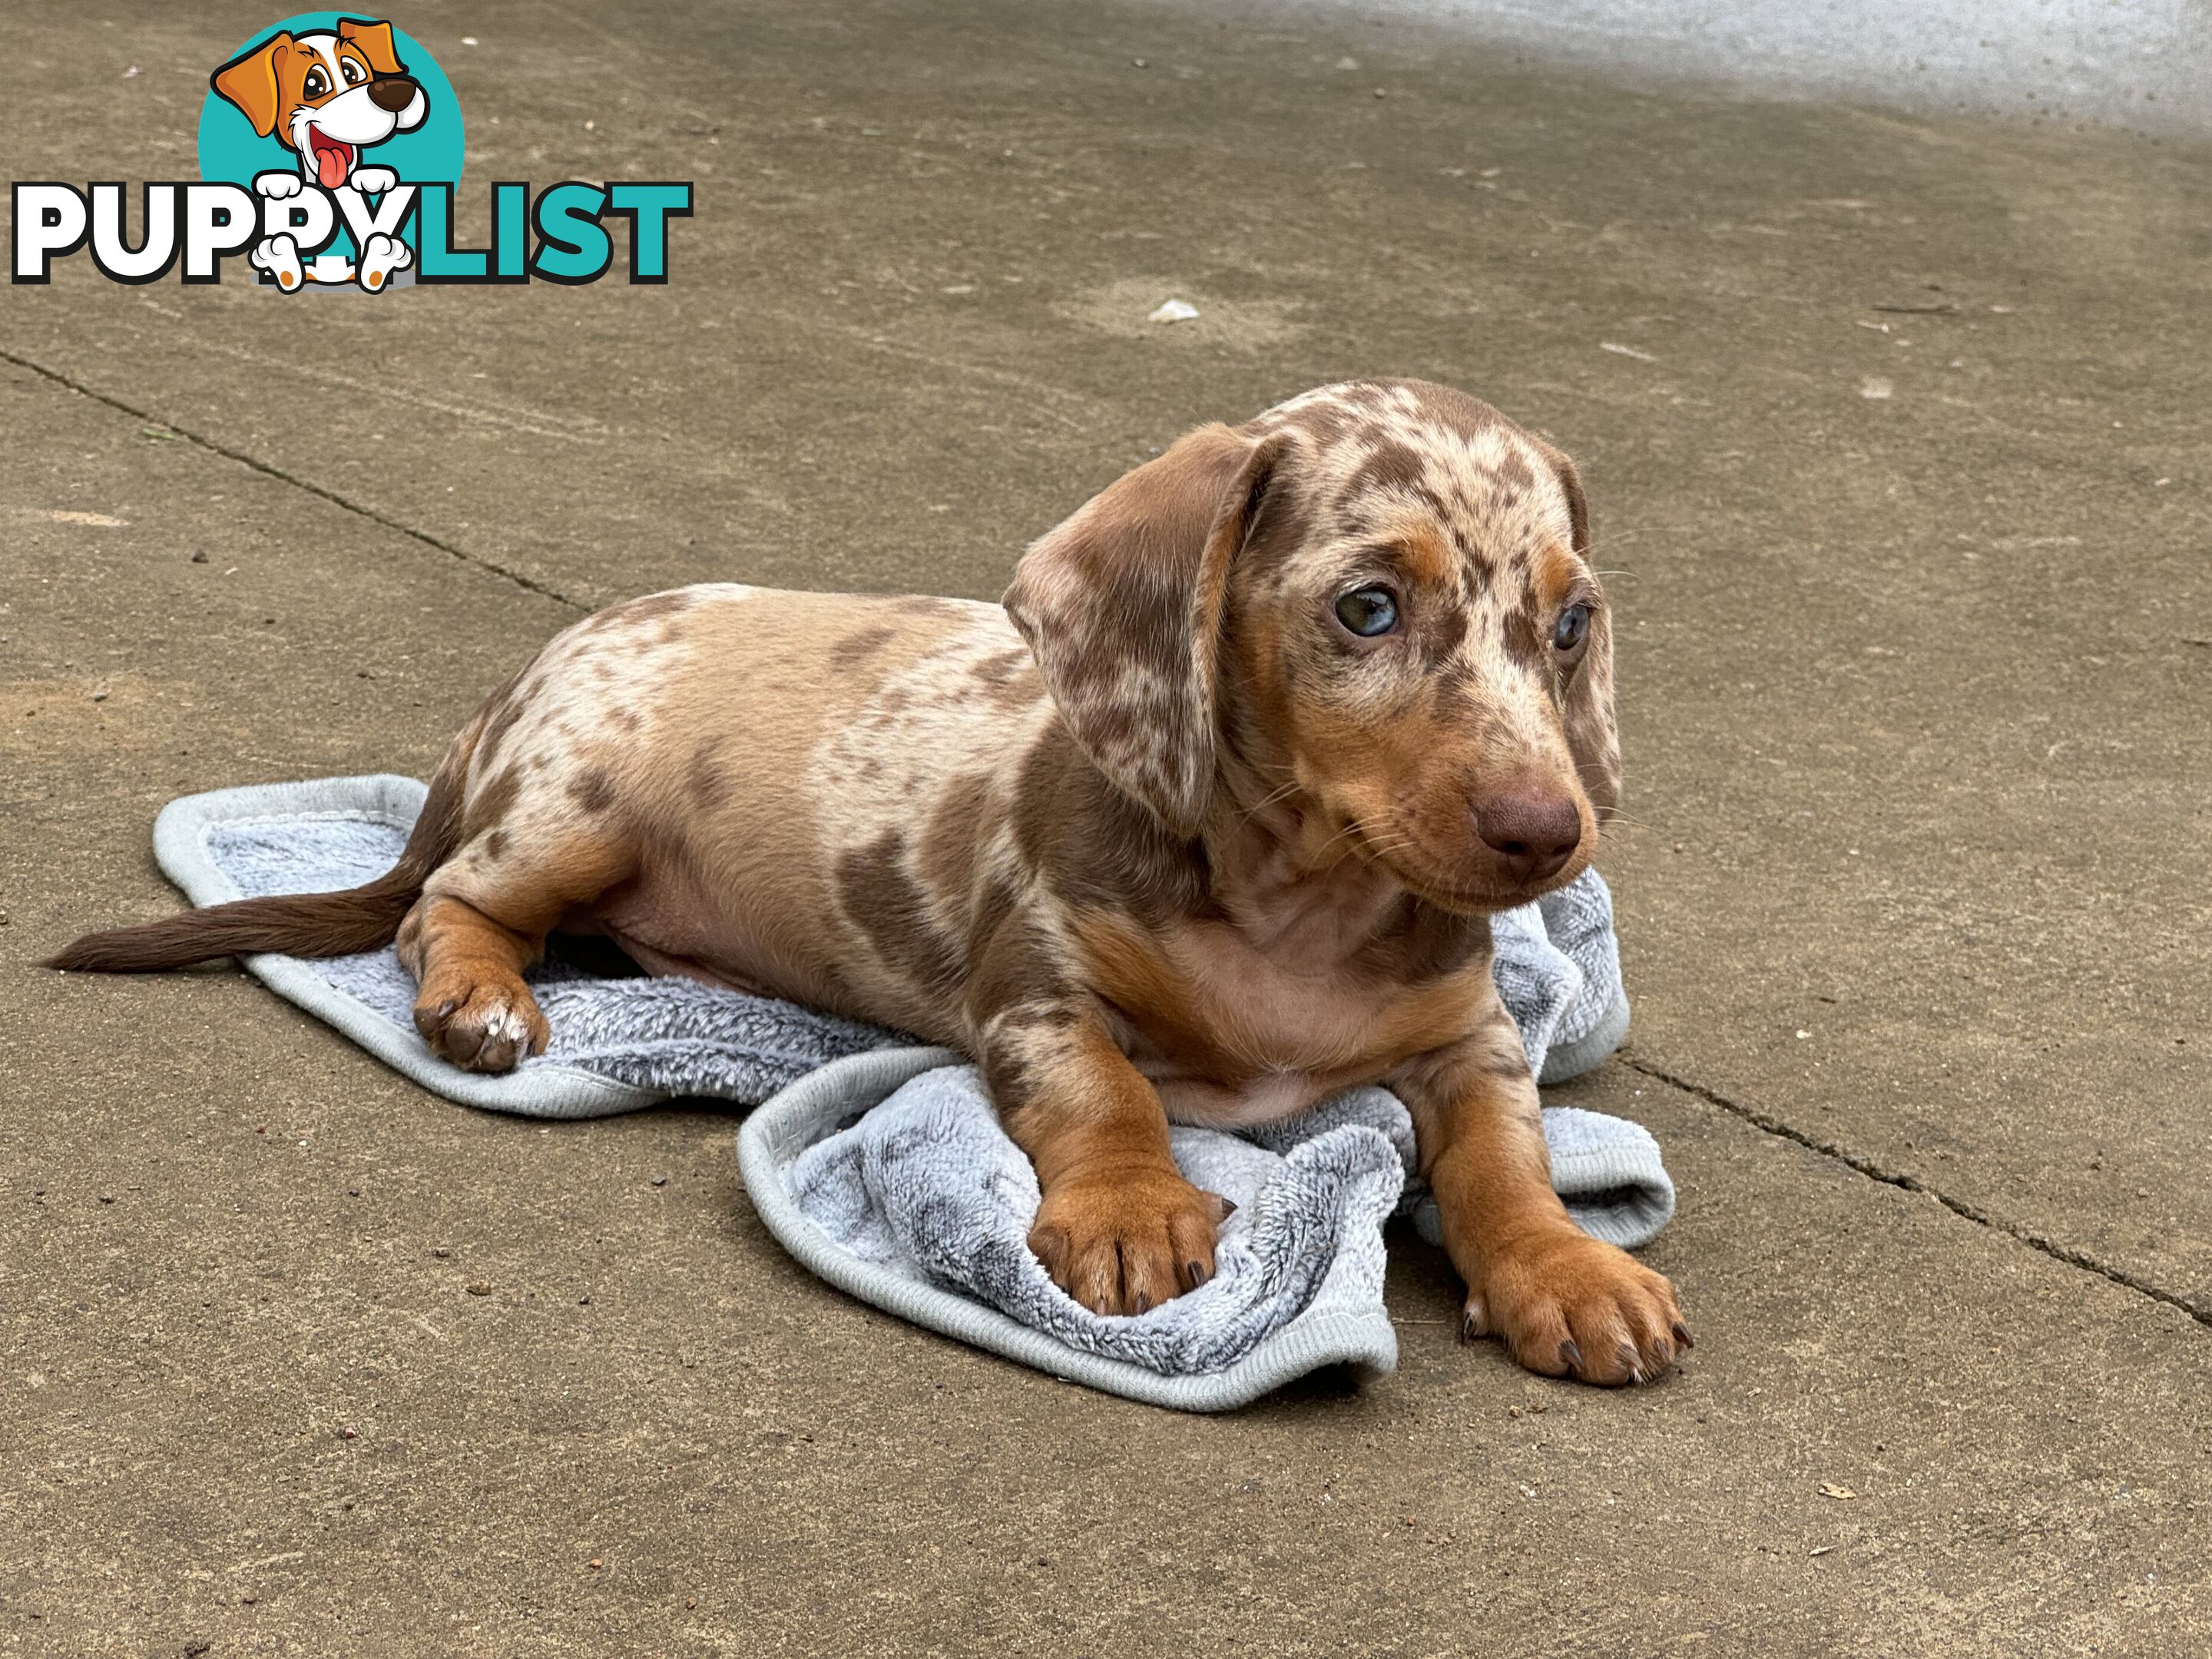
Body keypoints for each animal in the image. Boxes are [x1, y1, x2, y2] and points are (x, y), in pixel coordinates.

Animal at [60, 380, 1690, 1389]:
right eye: (1367, 608)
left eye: (1569, 625)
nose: (1549, 834)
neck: (1300, 903)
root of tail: (520, 680)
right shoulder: (1039, 992)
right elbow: (1111, 1092)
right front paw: (1132, 1210)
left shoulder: (1468, 1036)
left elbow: (1502, 1154)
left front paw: (1563, 1270)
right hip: (576, 810)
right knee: (439, 904)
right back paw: (484, 1001)